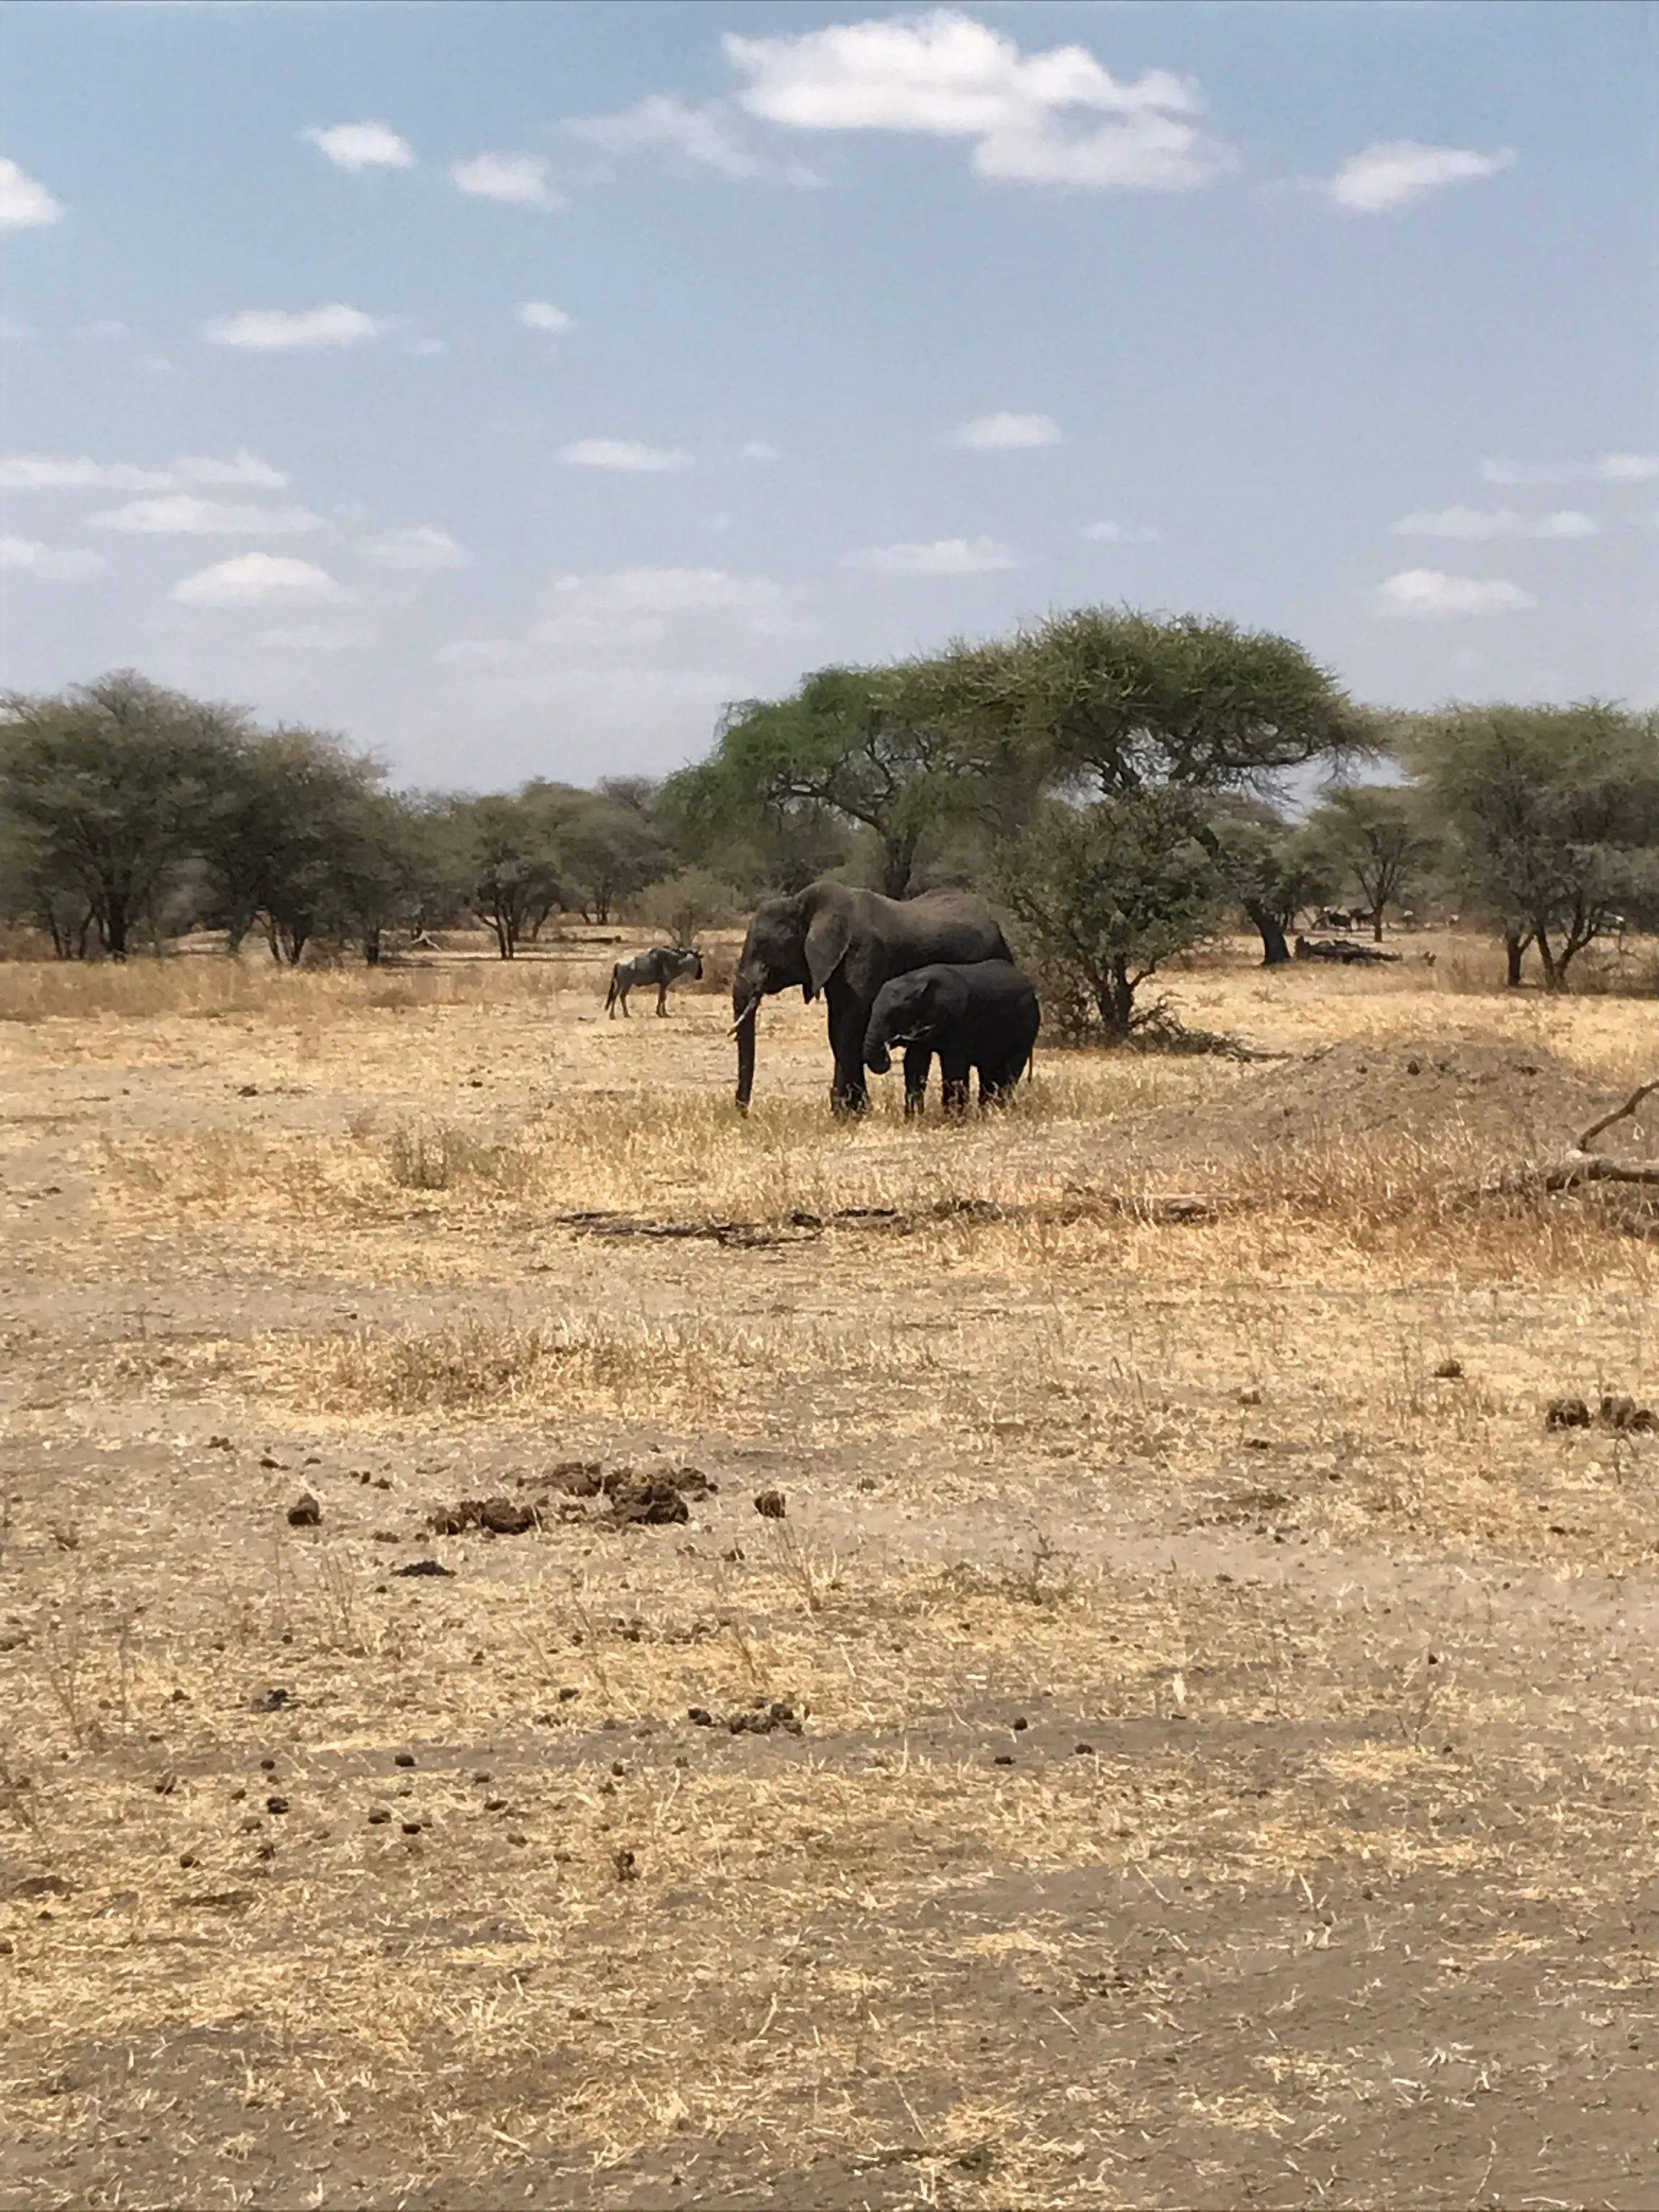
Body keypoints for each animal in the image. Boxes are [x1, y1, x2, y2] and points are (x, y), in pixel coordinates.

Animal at [731, 880, 1012, 1113]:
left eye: (764, 950)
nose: (743, 1113)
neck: (804, 906)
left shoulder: (864, 954)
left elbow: (849, 1027)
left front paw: (847, 1114)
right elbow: (837, 1028)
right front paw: (854, 1111)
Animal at [863, 961, 1040, 1116]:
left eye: (897, 1014)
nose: (887, 1048)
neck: (917, 983)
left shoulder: (960, 1019)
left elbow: (954, 1067)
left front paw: (953, 1118)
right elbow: (915, 1064)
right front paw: (913, 1119)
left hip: (1027, 1025)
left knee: (1009, 1073)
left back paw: (998, 1111)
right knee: (989, 1073)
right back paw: (986, 1113)